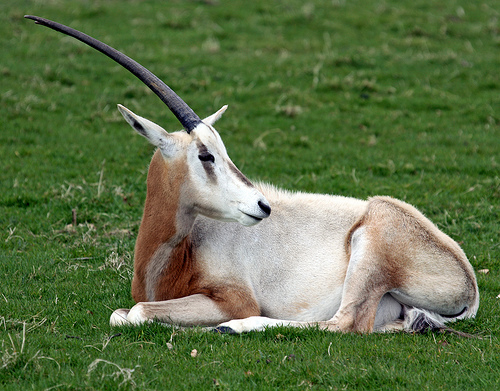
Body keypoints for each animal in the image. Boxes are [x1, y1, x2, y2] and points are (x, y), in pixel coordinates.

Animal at [25, 15, 478, 334]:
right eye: (206, 155)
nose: (262, 206)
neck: (180, 248)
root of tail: (468, 281)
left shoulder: (232, 296)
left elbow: (129, 313)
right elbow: (125, 310)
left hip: (370, 249)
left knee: (345, 323)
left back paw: (231, 328)